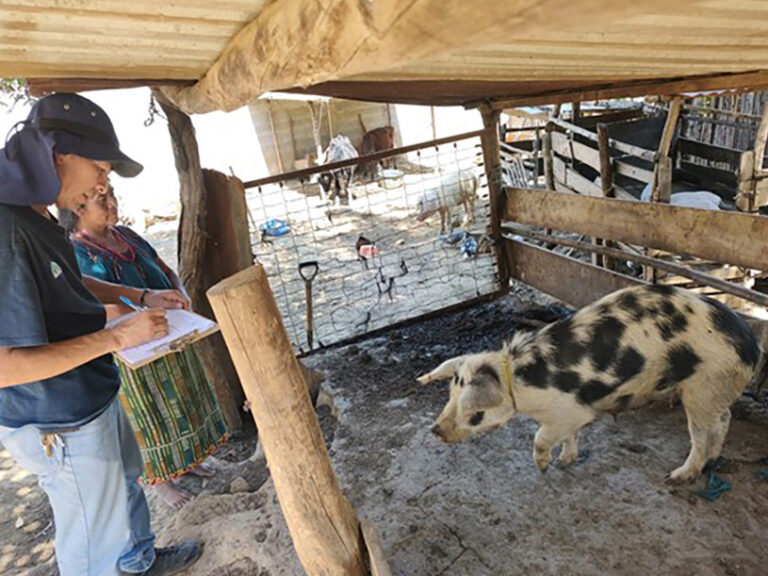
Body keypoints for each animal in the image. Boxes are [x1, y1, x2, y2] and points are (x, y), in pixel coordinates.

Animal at [417, 284, 766, 483]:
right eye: (449, 396)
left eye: (473, 412)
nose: (434, 429)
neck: (519, 383)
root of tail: (750, 346)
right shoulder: (567, 417)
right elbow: (569, 436)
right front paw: (566, 461)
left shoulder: (570, 409)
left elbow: (541, 437)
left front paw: (543, 467)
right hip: (713, 390)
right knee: (724, 418)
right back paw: (712, 461)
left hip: (703, 386)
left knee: (702, 433)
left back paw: (677, 477)